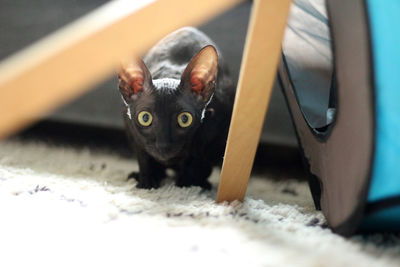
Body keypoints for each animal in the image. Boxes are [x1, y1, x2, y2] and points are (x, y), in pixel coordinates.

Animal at [116, 26, 234, 191]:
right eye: (145, 118)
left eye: (184, 119)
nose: (163, 145)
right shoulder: (132, 131)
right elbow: (144, 157)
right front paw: (147, 182)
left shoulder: (214, 127)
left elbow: (197, 160)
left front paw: (185, 186)